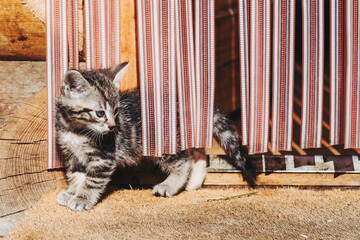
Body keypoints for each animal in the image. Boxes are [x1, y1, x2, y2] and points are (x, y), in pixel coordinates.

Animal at [57, 62, 253, 211]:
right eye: (100, 113)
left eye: (116, 111)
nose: (113, 126)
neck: (76, 130)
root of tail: (181, 102)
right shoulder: (73, 155)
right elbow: (76, 175)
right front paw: (72, 192)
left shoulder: (103, 157)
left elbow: (92, 180)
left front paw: (82, 199)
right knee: (196, 151)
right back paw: (194, 182)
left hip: (165, 142)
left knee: (184, 161)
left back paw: (171, 185)